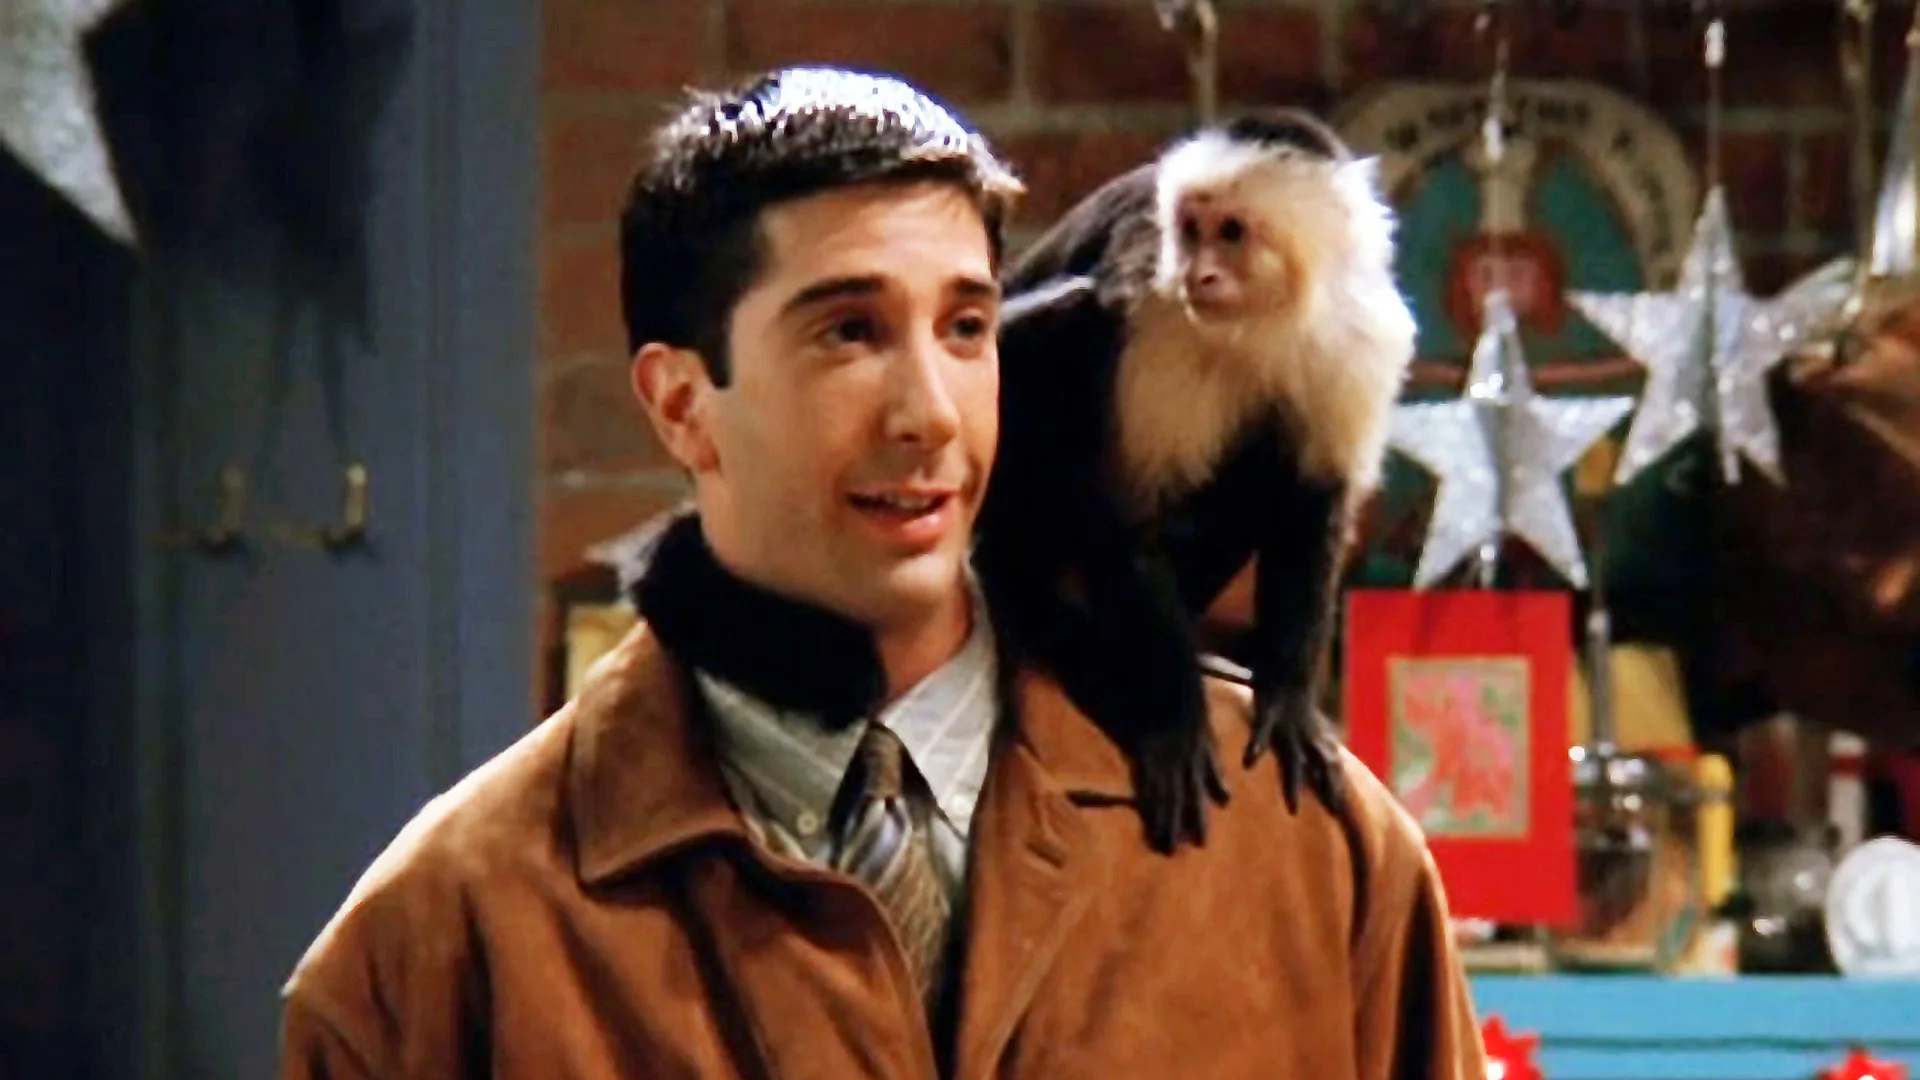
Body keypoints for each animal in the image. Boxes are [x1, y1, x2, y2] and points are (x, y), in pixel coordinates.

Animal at [972, 109, 1417, 855]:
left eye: (1230, 232)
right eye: (1189, 230)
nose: (1200, 273)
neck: (1267, 318)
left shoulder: (1358, 333)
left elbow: (1315, 503)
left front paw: (1289, 700)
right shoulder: (1154, 312)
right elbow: (1128, 520)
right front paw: (1174, 723)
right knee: (1070, 319)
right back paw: (1038, 608)